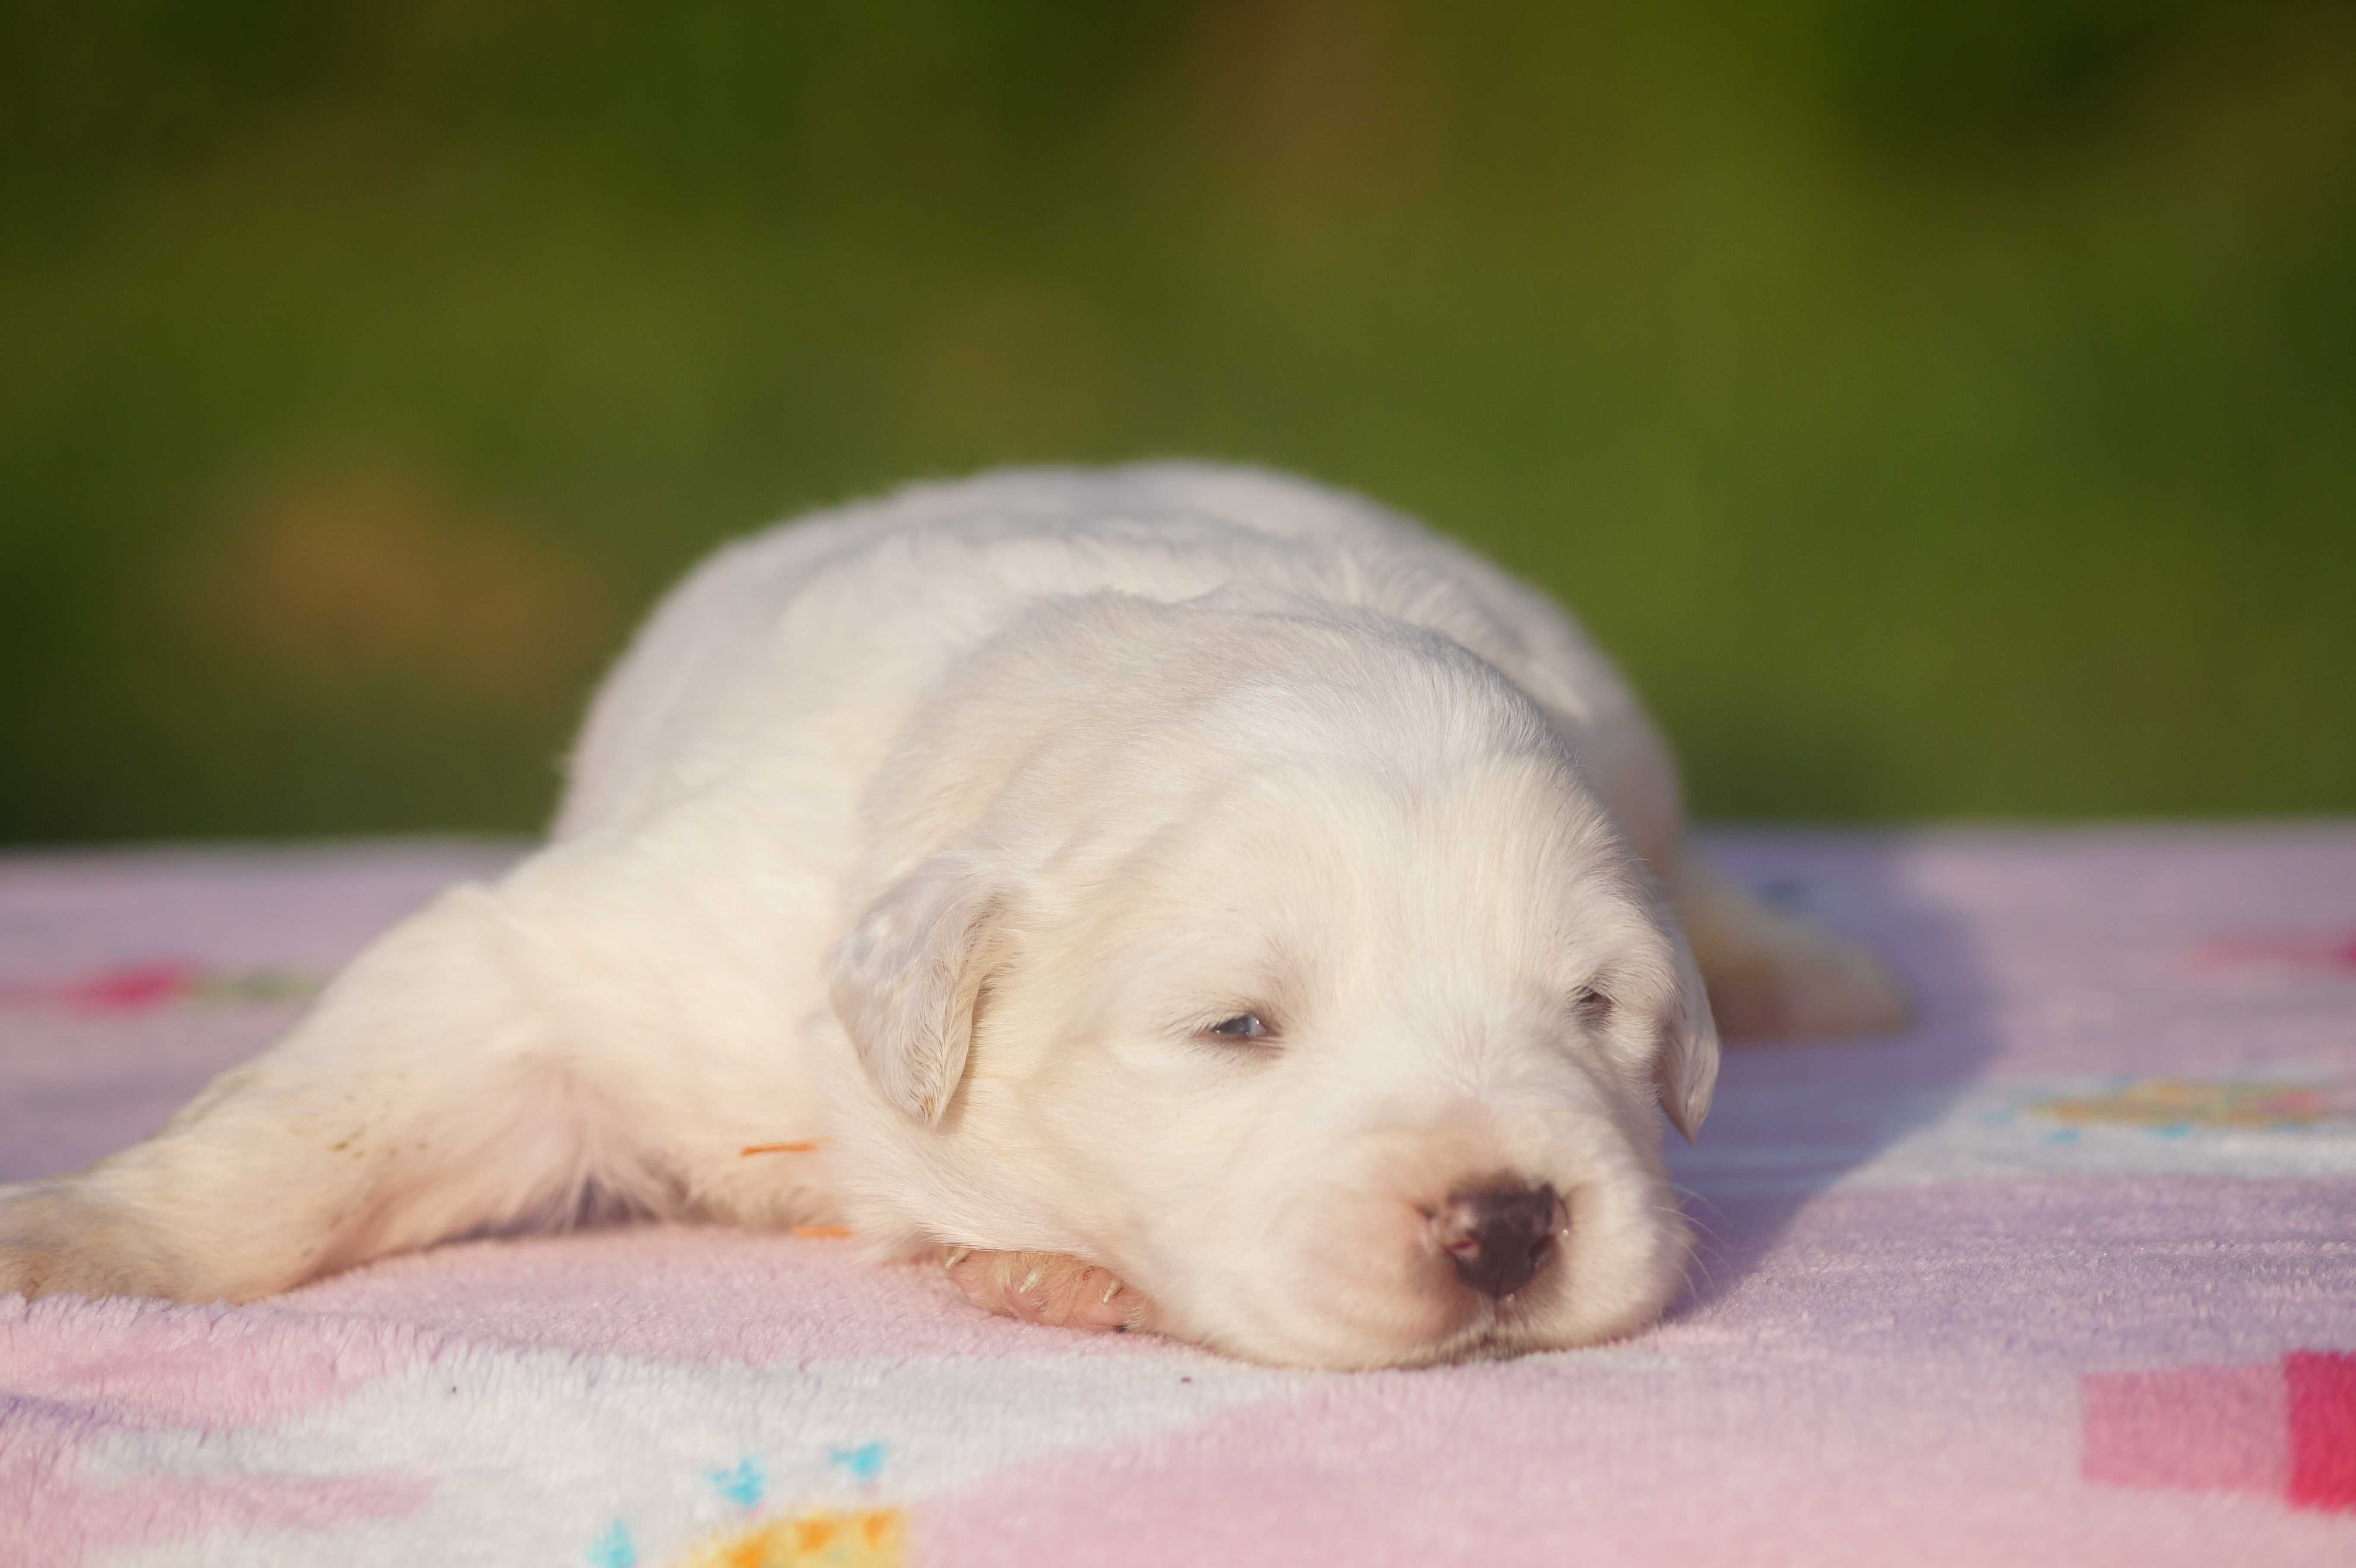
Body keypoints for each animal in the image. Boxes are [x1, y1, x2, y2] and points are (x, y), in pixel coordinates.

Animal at [0, 459, 1913, 1366]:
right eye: (1236, 1027)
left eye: (1594, 1010)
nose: (1507, 1223)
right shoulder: (621, 957)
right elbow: (321, 1120)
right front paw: (82, 1238)